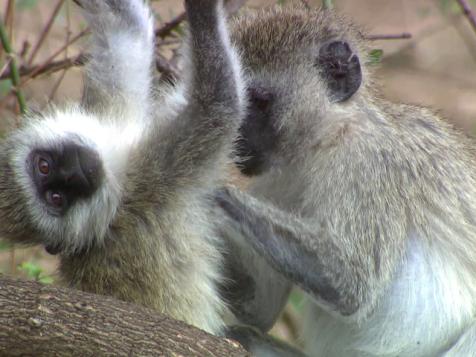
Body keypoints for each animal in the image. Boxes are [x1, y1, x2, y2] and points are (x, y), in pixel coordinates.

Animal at [0, 0, 245, 334]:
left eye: (44, 166)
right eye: (57, 199)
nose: (73, 173)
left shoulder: (112, 109)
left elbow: (127, 31)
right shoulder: (153, 177)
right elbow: (218, 105)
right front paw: (202, 11)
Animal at [217, 4, 476, 354]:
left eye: (258, 100)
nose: (236, 137)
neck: (324, 142)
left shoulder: (368, 160)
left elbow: (352, 283)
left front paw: (209, 191)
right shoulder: (273, 181)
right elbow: (261, 309)